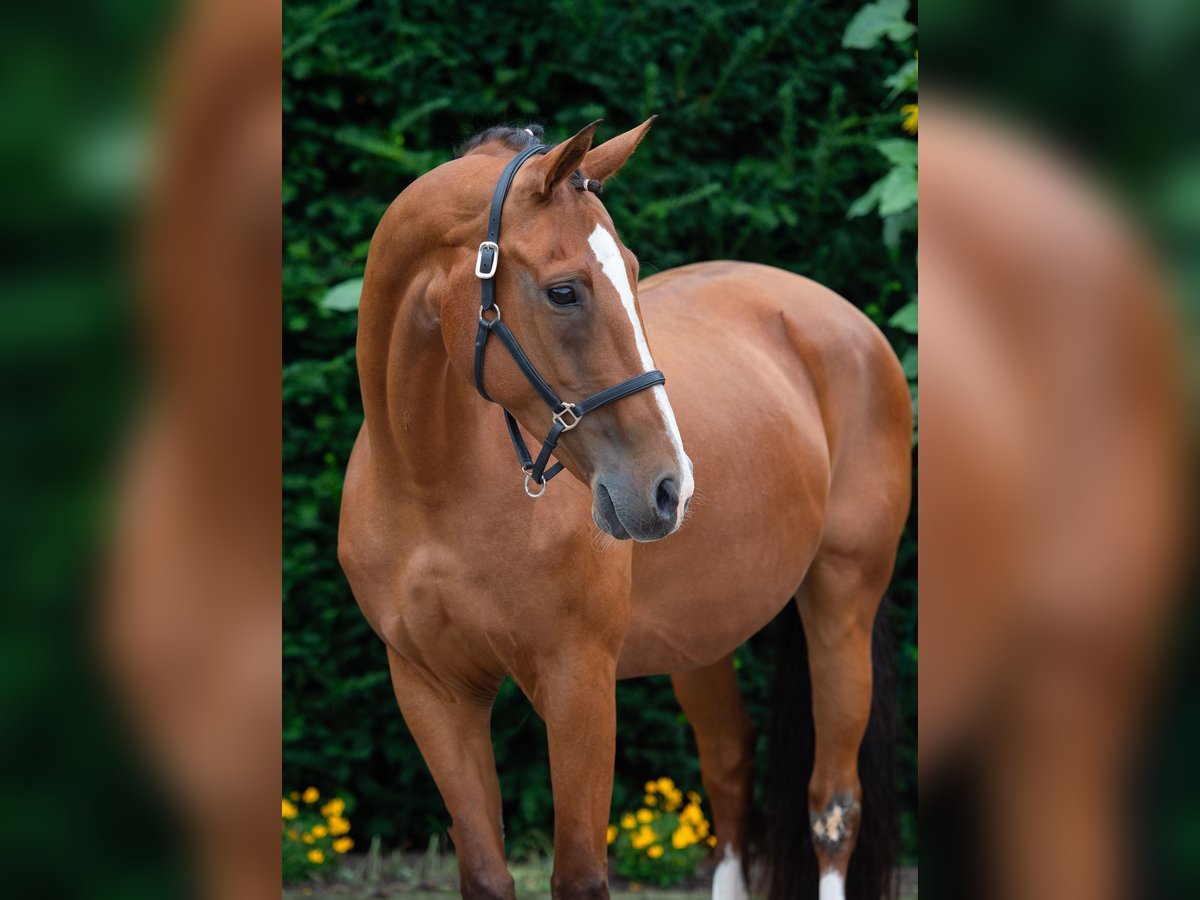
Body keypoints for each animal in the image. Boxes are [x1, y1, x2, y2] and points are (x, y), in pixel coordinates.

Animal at [338, 121, 907, 900]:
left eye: (633, 273)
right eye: (564, 291)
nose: (670, 488)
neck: (429, 489)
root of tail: (844, 321)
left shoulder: (579, 685)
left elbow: (581, 874)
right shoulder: (432, 692)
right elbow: (484, 873)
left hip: (843, 599)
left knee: (833, 807)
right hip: (703, 634)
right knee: (729, 774)